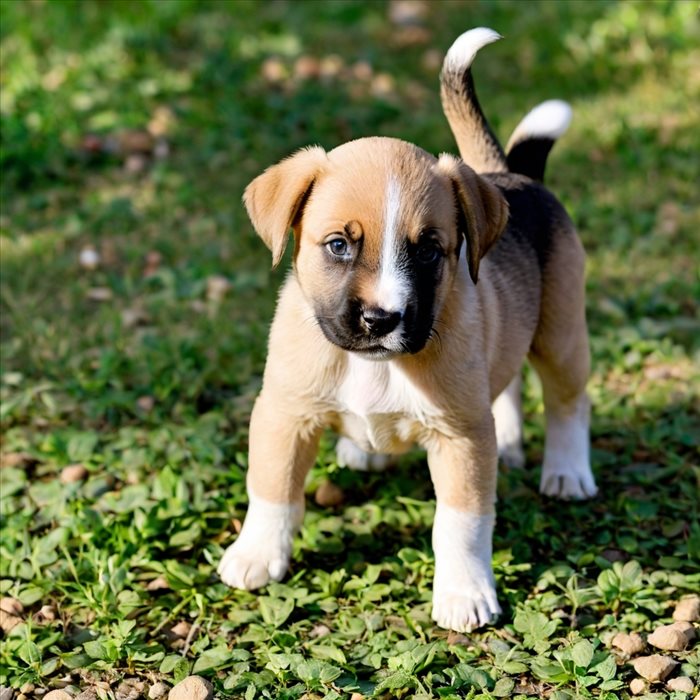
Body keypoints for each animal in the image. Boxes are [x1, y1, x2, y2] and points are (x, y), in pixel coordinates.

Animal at [219, 27, 596, 632]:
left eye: (428, 250)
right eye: (338, 245)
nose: (381, 319)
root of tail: (512, 175)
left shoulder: (460, 437)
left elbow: (461, 524)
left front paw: (465, 592)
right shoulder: (284, 412)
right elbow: (272, 489)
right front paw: (256, 555)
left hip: (561, 335)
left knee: (568, 401)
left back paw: (566, 472)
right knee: (508, 381)